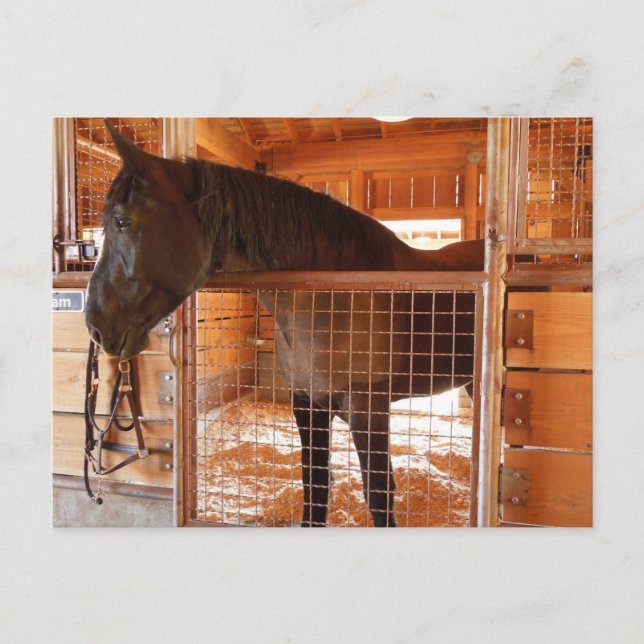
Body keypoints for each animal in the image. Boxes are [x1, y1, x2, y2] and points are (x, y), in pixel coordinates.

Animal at [85, 120, 485, 527]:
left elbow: (377, 494)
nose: (95, 325)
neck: (331, 301)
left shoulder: (368, 408)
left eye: (122, 221)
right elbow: (315, 485)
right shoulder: (307, 403)